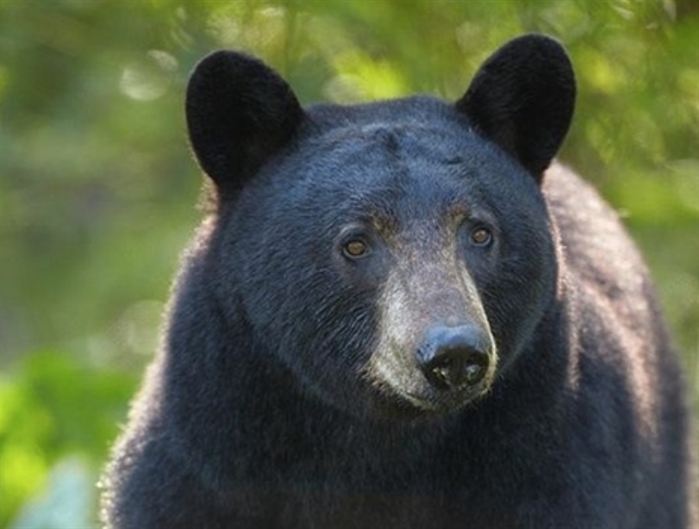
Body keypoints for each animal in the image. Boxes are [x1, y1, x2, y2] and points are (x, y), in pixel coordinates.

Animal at [100, 34, 696, 529]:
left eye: (480, 232)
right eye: (356, 243)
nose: (453, 354)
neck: (377, 446)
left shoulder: (558, 465)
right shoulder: (201, 471)